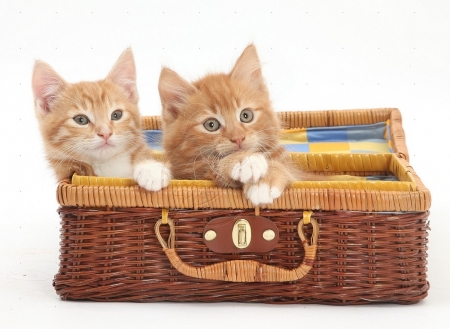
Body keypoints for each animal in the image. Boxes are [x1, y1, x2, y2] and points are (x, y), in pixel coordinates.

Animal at [160, 43, 318, 202]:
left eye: (246, 115)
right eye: (211, 125)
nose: (238, 138)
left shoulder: (298, 174)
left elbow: (286, 168)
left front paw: (265, 181)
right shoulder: (190, 170)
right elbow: (210, 163)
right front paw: (245, 160)